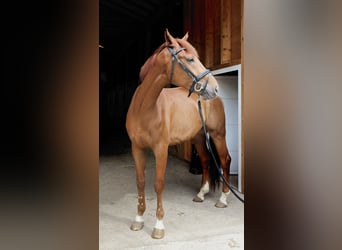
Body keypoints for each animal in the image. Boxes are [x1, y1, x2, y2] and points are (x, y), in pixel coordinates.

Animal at [124, 30, 231, 239]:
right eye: (190, 59)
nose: (214, 88)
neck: (145, 109)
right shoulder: (137, 148)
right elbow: (140, 182)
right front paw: (138, 220)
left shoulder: (161, 149)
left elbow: (158, 183)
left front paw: (158, 226)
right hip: (198, 138)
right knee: (205, 160)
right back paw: (201, 194)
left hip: (218, 135)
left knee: (225, 160)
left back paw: (223, 199)